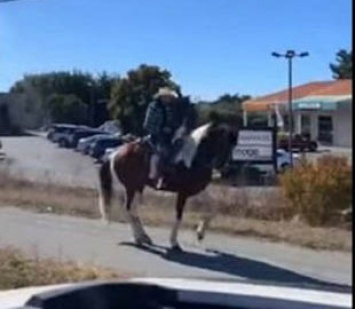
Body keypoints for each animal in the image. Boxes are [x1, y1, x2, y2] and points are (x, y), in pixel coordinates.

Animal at [96, 121, 239, 250]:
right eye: (224, 144)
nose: (227, 169)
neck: (193, 159)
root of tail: (115, 153)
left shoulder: (198, 191)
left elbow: (212, 209)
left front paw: (200, 234)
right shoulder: (183, 193)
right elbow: (179, 216)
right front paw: (174, 242)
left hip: (137, 187)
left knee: (133, 210)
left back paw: (143, 237)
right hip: (131, 187)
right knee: (129, 209)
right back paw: (139, 238)